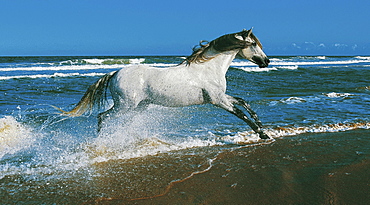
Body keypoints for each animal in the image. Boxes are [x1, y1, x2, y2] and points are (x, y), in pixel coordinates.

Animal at [59, 29, 270, 139]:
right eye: (253, 44)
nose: (266, 61)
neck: (208, 68)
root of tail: (115, 73)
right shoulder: (217, 100)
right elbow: (241, 114)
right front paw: (262, 134)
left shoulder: (221, 97)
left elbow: (243, 102)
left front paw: (262, 127)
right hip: (124, 106)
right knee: (103, 116)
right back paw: (101, 139)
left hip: (139, 107)